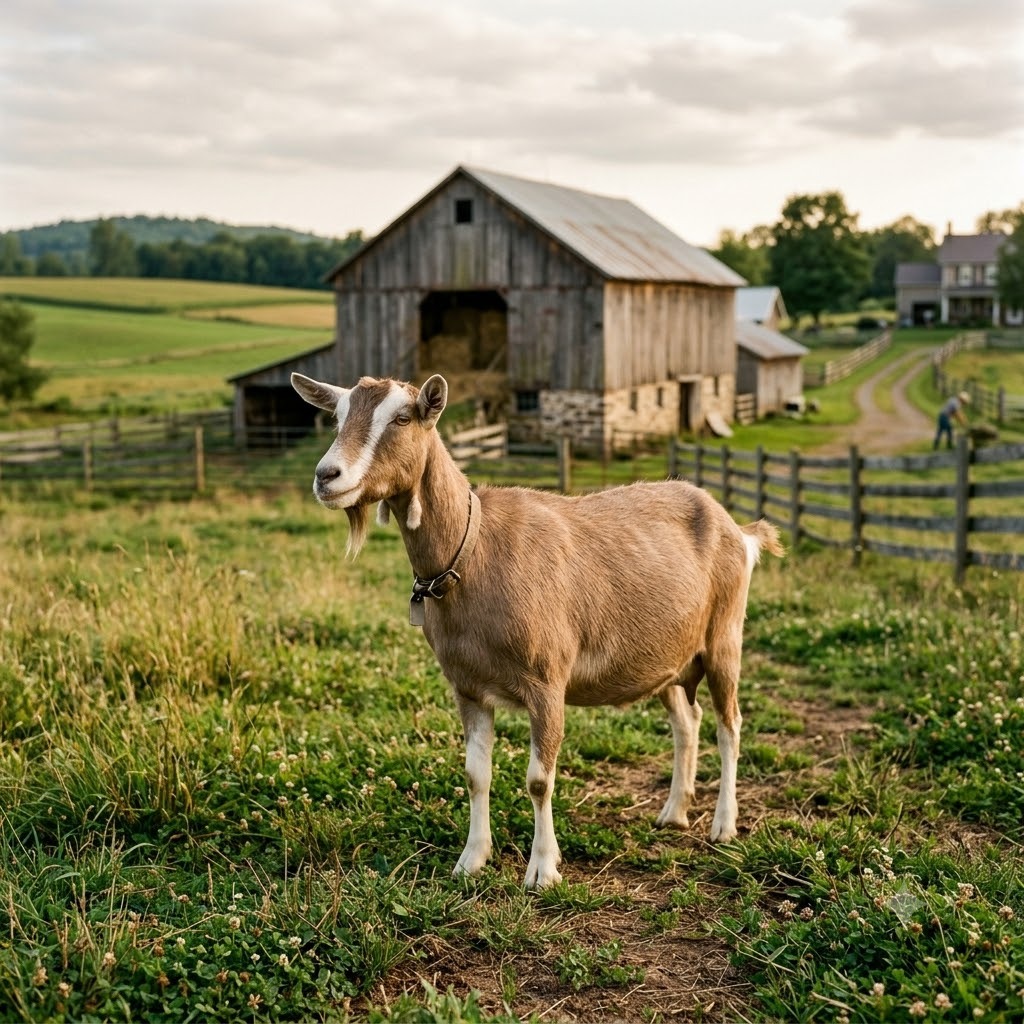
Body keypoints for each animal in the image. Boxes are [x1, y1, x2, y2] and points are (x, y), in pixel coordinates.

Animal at [291, 371, 783, 888]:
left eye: (403, 418)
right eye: (337, 416)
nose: (327, 476)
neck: (474, 550)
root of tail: (738, 529)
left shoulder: (547, 682)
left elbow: (539, 779)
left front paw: (543, 869)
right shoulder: (467, 687)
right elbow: (476, 774)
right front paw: (471, 860)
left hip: (724, 637)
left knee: (730, 725)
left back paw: (723, 825)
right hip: (668, 657)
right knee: (687, 722)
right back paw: (673, 812)